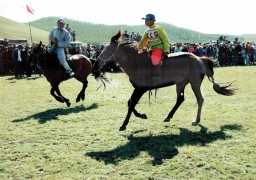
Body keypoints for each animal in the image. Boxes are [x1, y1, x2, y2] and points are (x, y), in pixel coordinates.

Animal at [92, 31, 236, 131]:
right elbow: (130, 103)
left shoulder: (141, 89)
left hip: (194, 83)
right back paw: (168, 116)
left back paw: (196, 120)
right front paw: (141, 115)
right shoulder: (138, 88)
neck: (137, 62)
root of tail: (200, 59)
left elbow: (131, 104)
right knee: (180, 99)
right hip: (181, 83)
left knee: (199, 99)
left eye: (105, 50)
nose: (94, 68)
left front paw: (124, 124)